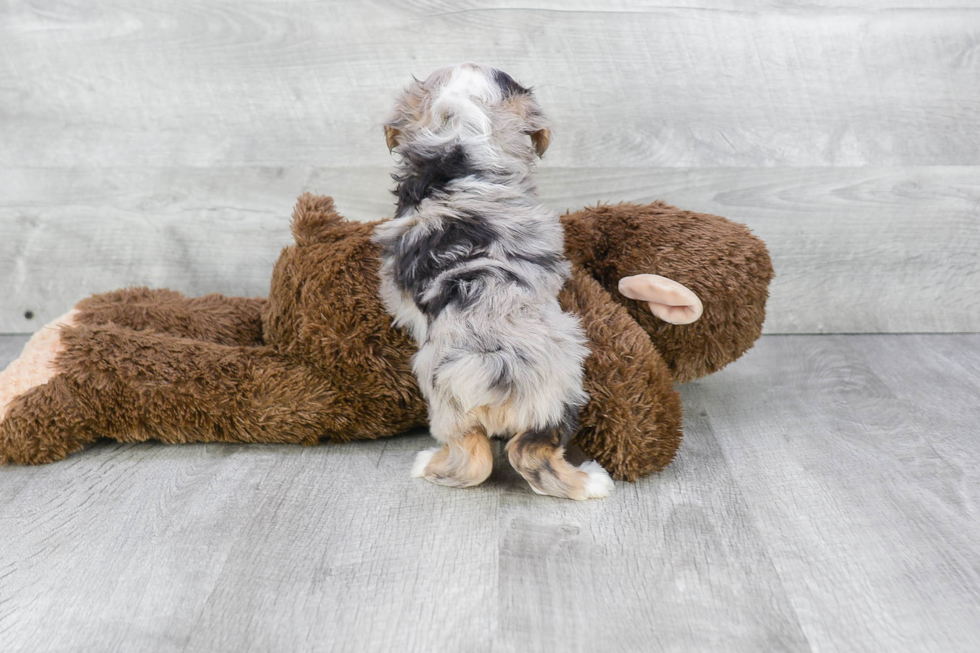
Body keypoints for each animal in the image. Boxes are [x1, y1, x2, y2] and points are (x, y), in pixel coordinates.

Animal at [374, 63, 612, 500]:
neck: (460, 145)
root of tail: (493, 360)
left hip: (451, 403)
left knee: (477, 458)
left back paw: (427, 465)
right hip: (555, 397)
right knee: (525, 452)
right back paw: (592, 483)